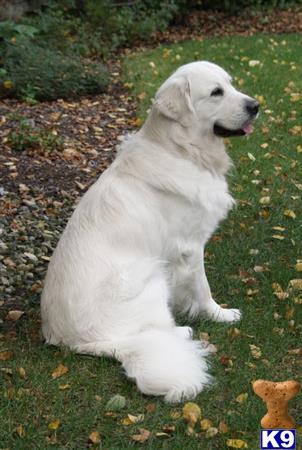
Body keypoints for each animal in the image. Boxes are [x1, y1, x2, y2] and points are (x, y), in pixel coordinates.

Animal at [41, 61, 258, 402]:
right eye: (216, 92)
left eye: (231, 84)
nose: (256, 106)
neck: (181, 150)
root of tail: (73, 340)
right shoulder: (190, 247)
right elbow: (203, 288)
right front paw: (219, 314)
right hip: (147, 274)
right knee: (155, 329)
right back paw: (182, 331)